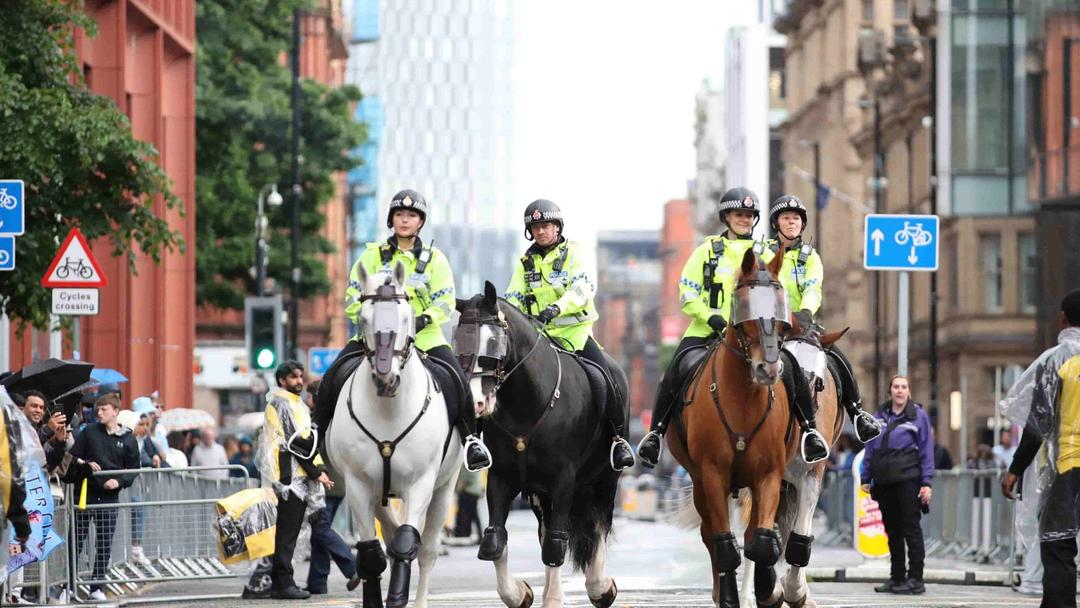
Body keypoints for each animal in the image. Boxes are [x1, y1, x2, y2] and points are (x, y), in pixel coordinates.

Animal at [328, 264, 464, 608]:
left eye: (405, 316)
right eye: (364, 318)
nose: (385, 377)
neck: (389, 408)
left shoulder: (422, 483)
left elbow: (407, 544)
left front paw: (399, 595)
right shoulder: (358, 485)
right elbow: (370, 554)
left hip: (445, 488)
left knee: (426, 550)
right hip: (378, 492)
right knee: (387, 533)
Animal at [453, 282, 626, 608]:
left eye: (494, 341)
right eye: (457, 341)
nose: (476, 403)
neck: (527, 402)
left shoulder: (564, 480)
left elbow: (557, 543)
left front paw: (556, 598)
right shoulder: (502, 478)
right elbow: (495, 540)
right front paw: (519, 593)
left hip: (605, 478)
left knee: (599, 523)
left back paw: (599, 586)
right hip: (539, 494)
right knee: (547, 532)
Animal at [665, 247, 842, 608]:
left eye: (818, 383)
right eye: (744, 306)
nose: (768, 369)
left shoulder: (790, 475)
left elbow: (784, 539)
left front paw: (786, 590)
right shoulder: (715, 474)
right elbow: (731, 543)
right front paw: (748, 593)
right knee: (715, 536)